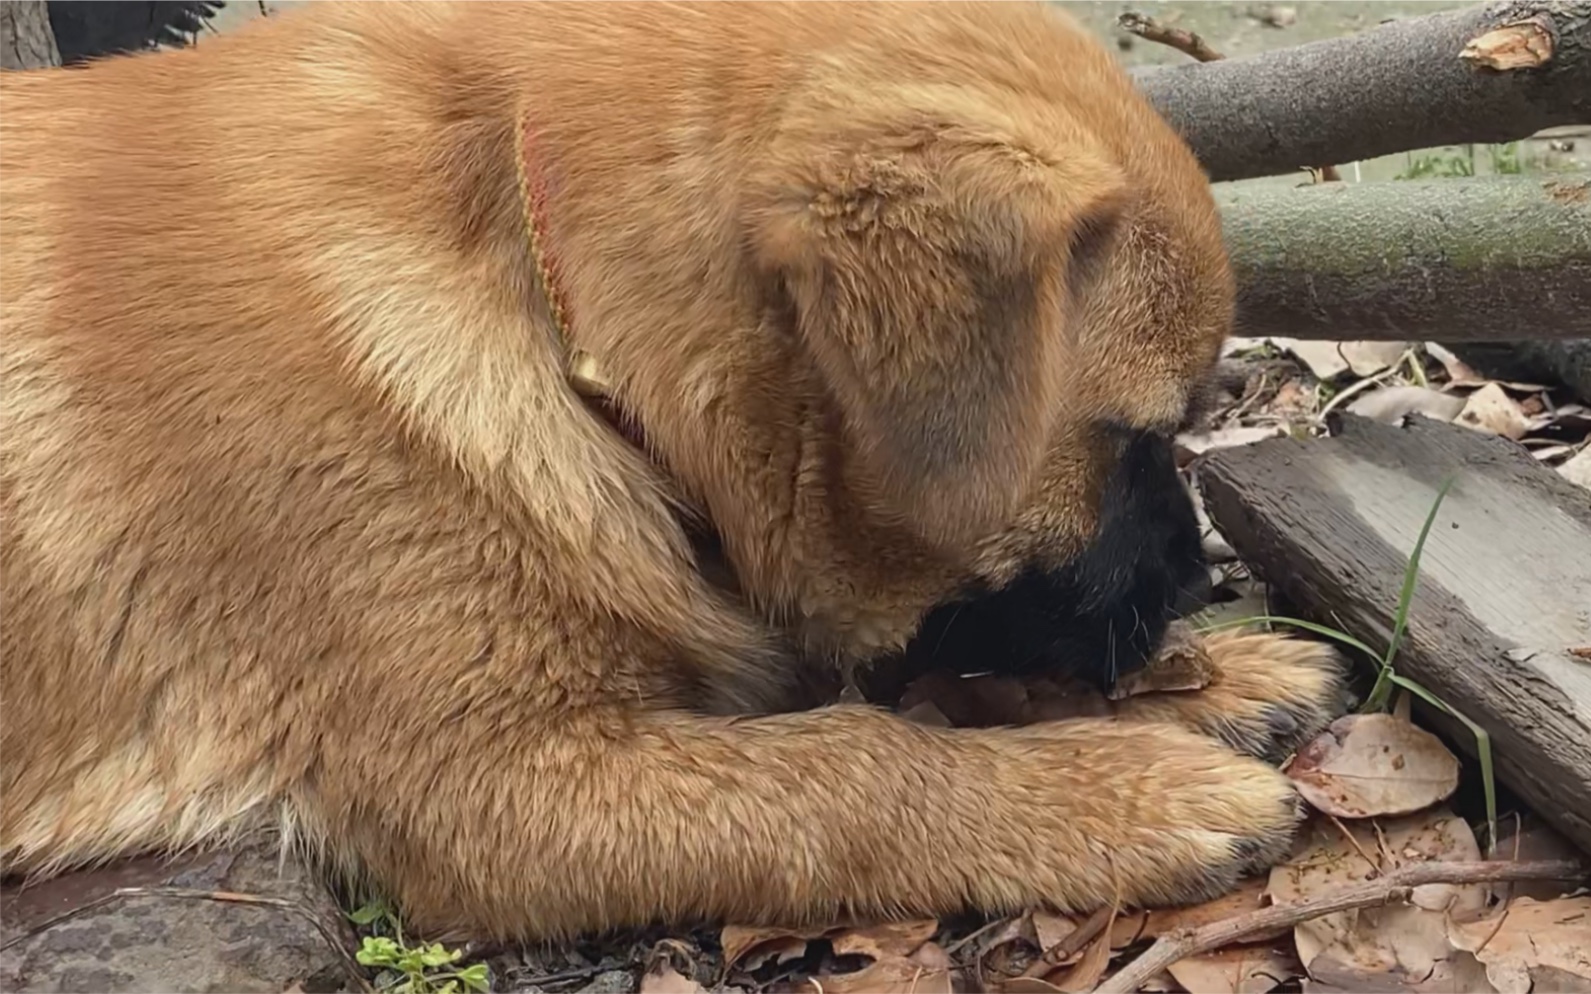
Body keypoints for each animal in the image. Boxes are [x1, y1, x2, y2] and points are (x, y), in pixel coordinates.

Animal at [3, 0, 1342, 941]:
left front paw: (1214, 680)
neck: (532, 272)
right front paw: (1119, 795)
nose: (1196, 588)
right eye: (1135, 437)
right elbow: (854, 764)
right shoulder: (494, 789)